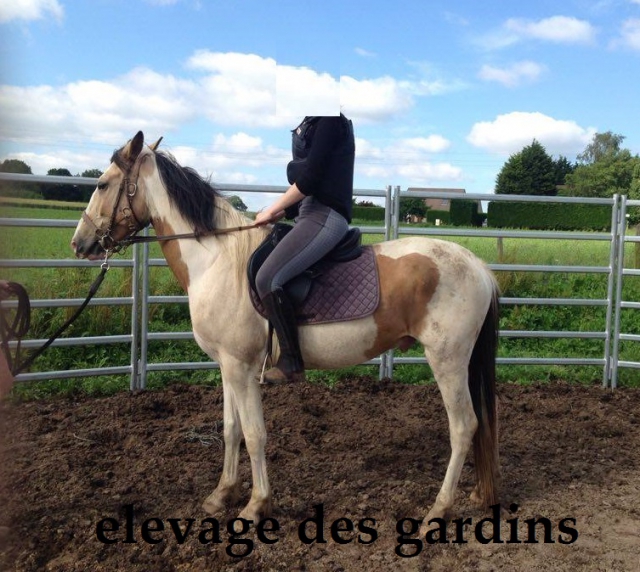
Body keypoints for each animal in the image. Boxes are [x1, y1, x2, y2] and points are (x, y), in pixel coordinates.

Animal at [71, 131, 501, 530]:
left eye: (102, 184)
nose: (80, 243)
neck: (217, 261)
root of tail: (478, 266)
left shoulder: (243, 369)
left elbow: (255, 434)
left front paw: (255, 505)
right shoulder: (228, 366)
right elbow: (231, 429)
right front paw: (221, 494)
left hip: (447, 360)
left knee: (463, 427)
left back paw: (438, 510)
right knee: (477, 424)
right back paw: (477, 494)